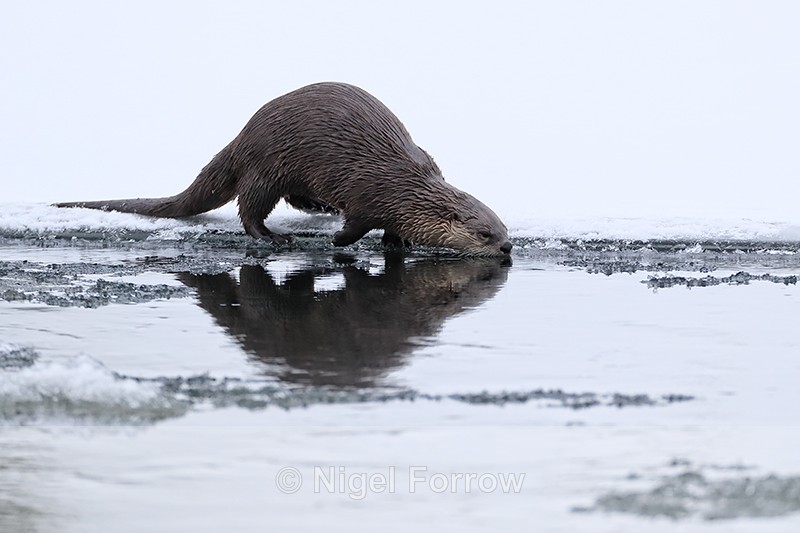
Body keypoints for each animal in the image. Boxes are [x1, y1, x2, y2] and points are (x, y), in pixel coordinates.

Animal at [56, 82, 512, 256]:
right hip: (267, 166)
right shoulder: (368, 195)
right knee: (250, 209)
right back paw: (274, 238)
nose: (507, 247)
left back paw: (318, 209)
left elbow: (392, 231)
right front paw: (340, 241)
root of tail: (243, 134)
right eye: (484, 234)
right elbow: (356, 225)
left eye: (504, 229)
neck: (405, 189)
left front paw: (397, 243)